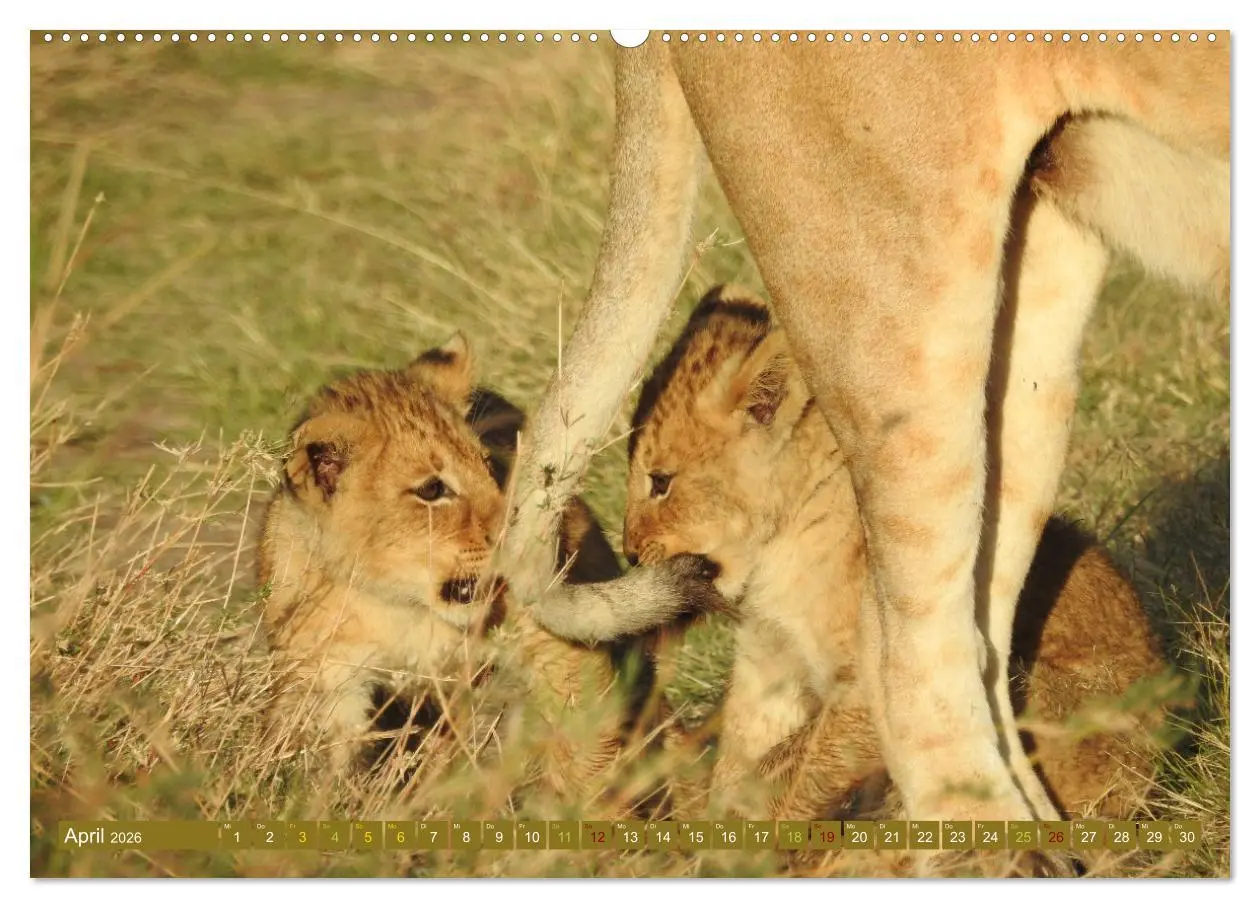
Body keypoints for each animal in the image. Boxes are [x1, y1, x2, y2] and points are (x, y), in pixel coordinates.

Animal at [257, 332, 722, 791]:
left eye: (485, 464)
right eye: (432, 490)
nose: (514, 532)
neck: (399, 605)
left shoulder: (552, 644)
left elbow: (583, 748)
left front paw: (578, 805)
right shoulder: (326, 678)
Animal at [619, 287, 1174, 822]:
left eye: (660, 482)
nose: (628, 555)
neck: (781, 541)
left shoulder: (877, 676)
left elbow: (804, 770)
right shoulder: (768, 659)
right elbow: (741, 755)